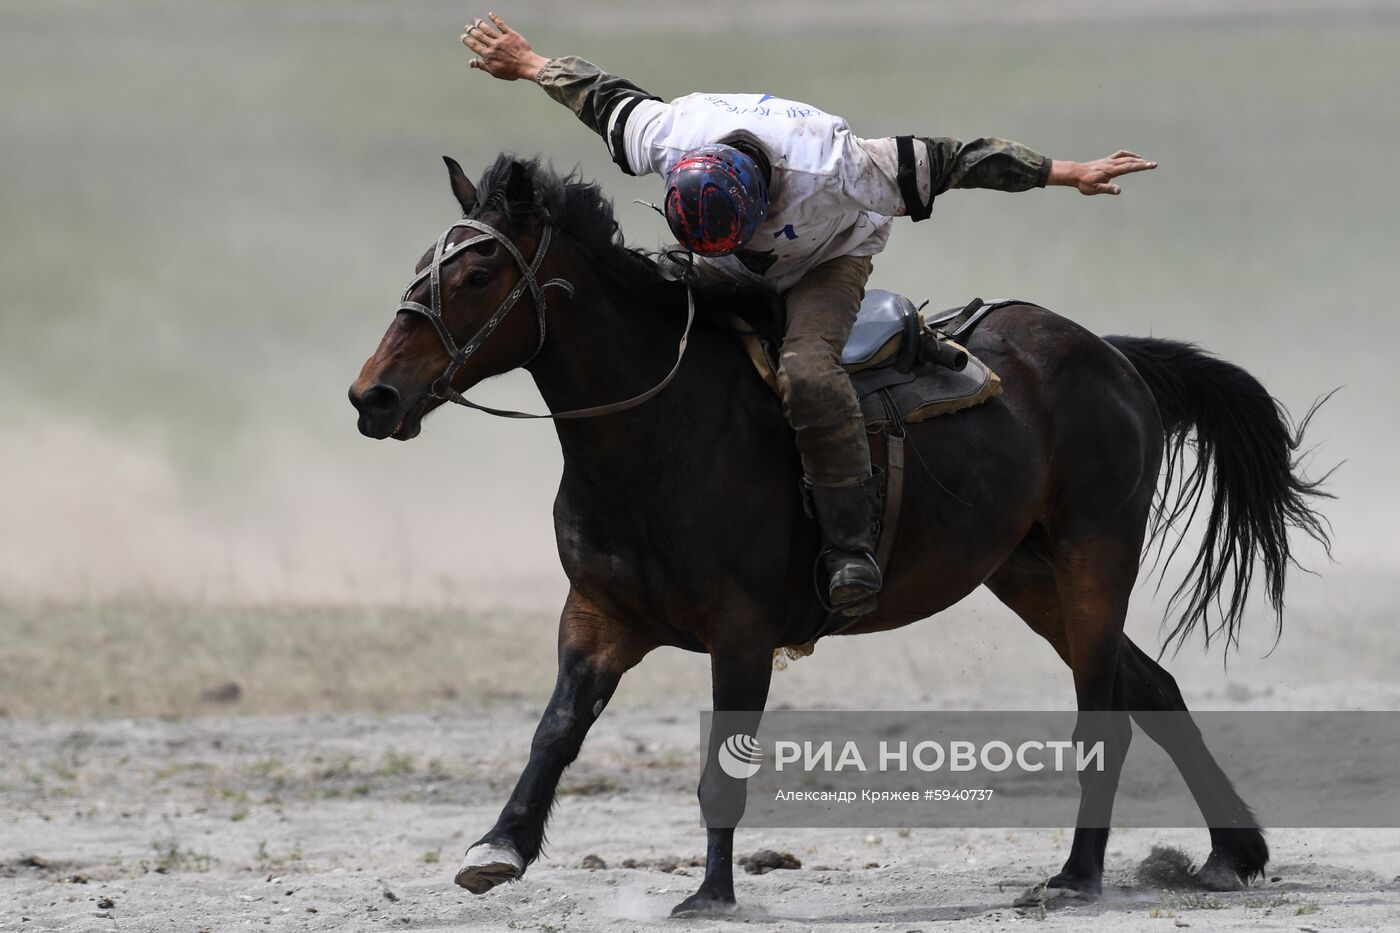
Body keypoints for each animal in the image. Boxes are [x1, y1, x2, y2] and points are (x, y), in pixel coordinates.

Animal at [350, 154, 1332, 913]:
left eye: (478, 275)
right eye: (422, 265)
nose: (375, 396)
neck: (661, 430)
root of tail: (1116, 356)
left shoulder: (741, 631)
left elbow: (723, 762)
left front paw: (710, 894)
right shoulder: (597, 617)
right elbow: (556, 730)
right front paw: (498, 847)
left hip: (1095, 558)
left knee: (1107, 711)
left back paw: (1076, 875)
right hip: (1028, 574)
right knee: (1152, 686)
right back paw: (1232, 851)